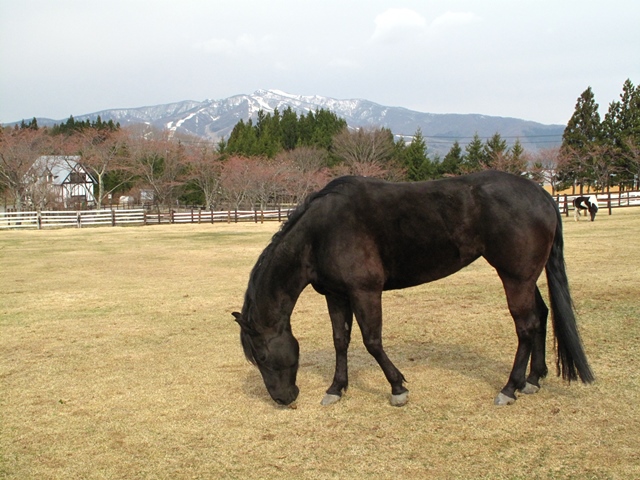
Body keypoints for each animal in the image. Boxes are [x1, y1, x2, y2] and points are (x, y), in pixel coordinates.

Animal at [234, 171, 596, 406]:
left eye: (262, 356)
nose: (283, 399)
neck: (321, 232)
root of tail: (543, 195)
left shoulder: (365, 291)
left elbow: (372, 341)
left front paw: (397, 388)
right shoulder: (337, 295)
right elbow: (340, 341)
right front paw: (336, 388)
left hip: (515, 278)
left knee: (526, 326)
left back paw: (510, 388)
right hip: (524, 276)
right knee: (541, 317)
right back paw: (533, 379)